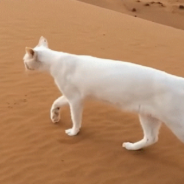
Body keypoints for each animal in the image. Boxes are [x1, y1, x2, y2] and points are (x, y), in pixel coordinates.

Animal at [23, 36, 184, 151]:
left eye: (25, 61)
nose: (23, 65)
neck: (56, 60)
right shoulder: (72, 95)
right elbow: (56, 101)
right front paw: (54, 115)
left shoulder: (75, 99)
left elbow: (76, 118)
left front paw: (74, 132)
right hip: (148, 116)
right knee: (151, 138)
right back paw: (131, 147)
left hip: (176, 124)